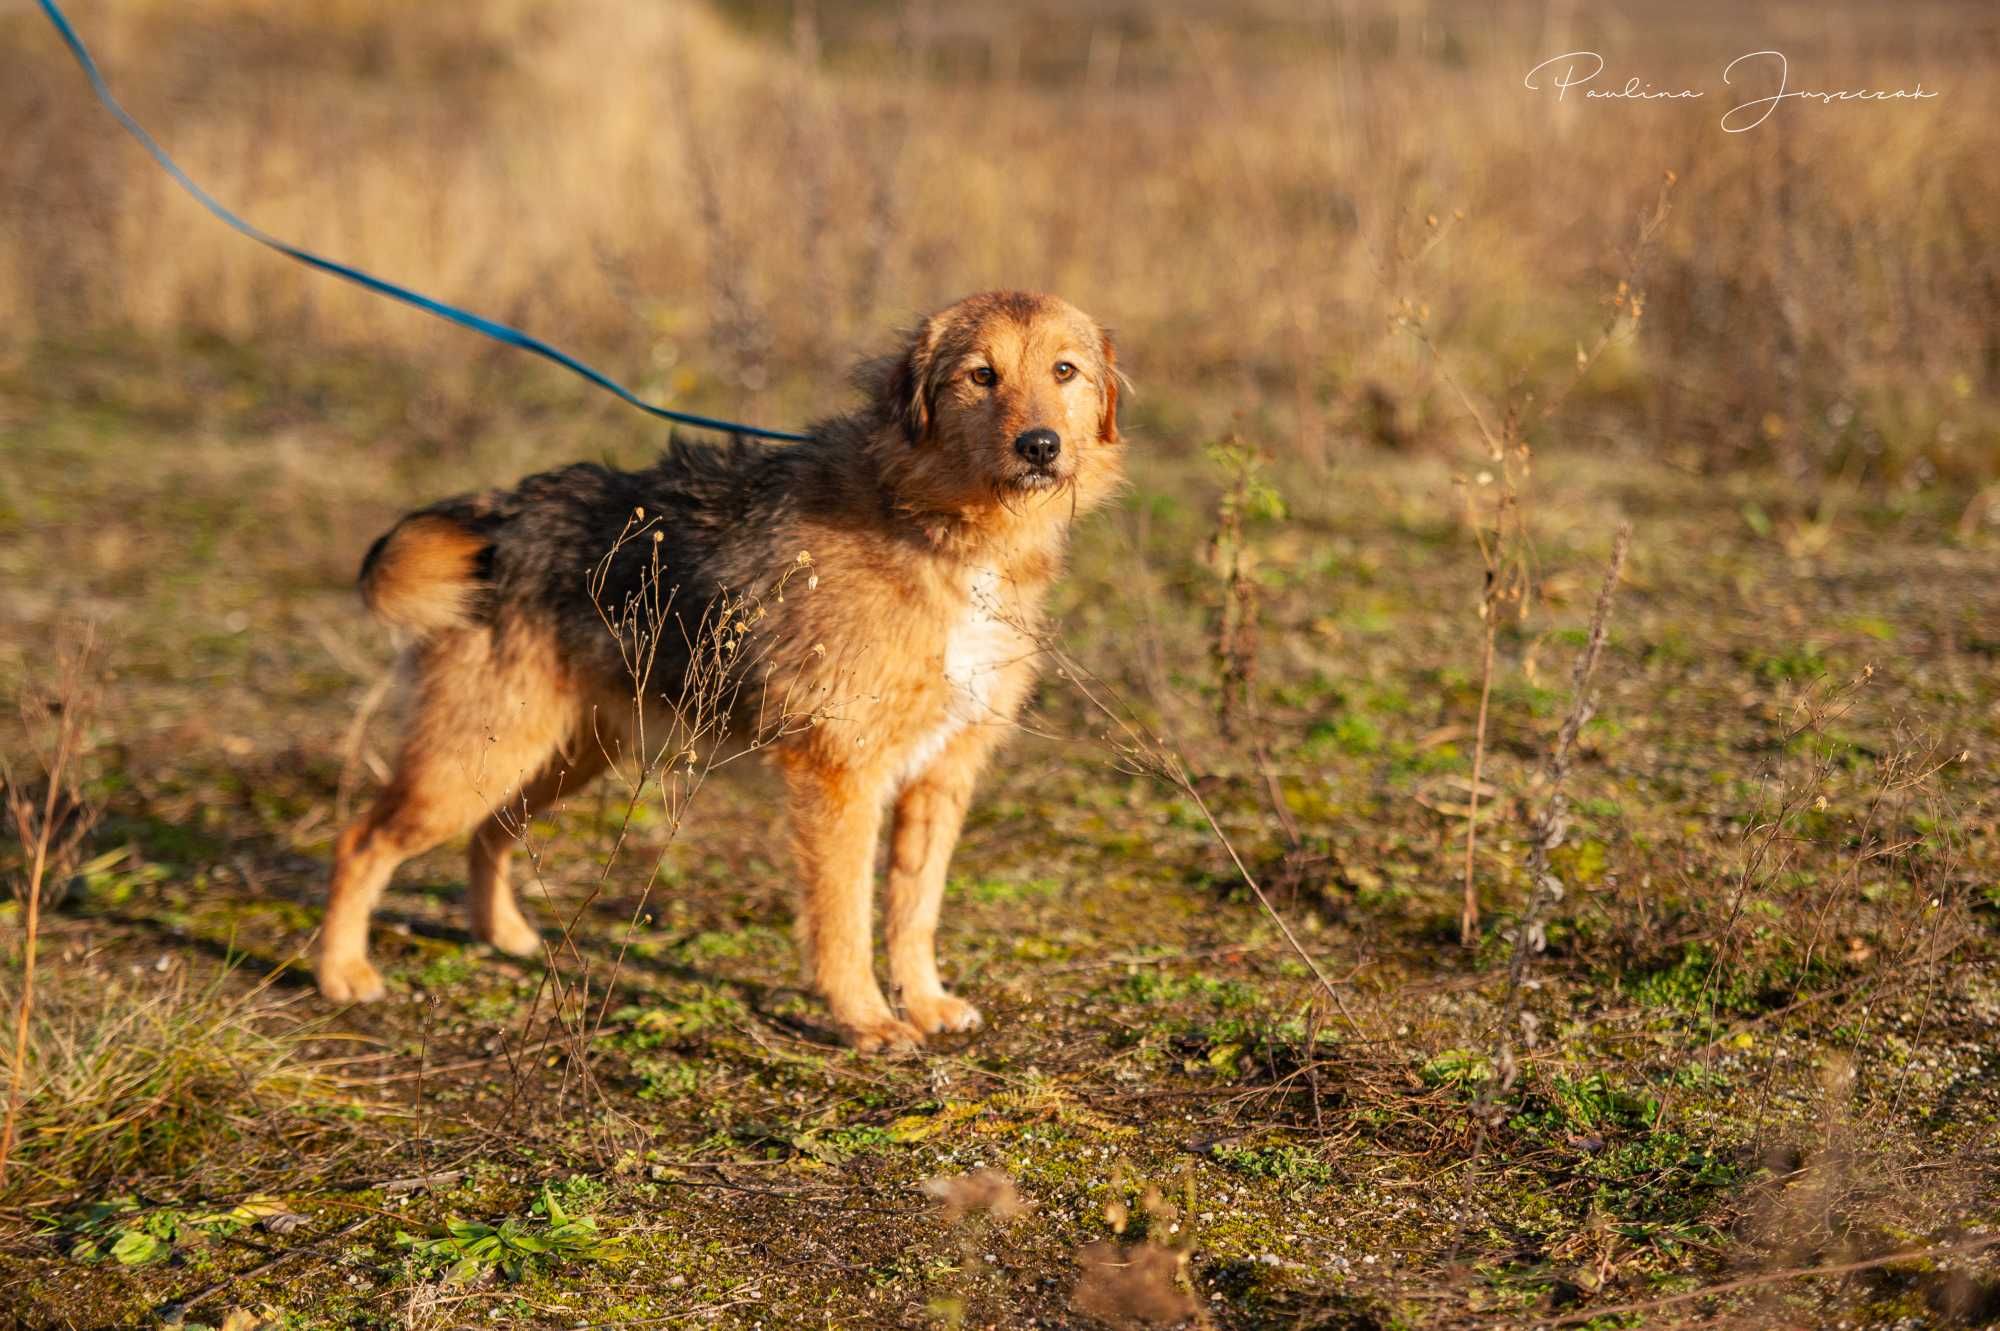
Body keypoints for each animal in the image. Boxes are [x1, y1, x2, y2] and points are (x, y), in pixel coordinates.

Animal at [312, 289, 1128, 1047]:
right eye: (981, 375)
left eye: (1065, 370)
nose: (1040, 446)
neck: (937, 527)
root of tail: (499, 520)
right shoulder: (841, 776)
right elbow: (844, 918)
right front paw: (864, 1018)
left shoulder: (943, 775)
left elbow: (914, 909)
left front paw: (923, 1002)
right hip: (472, 761)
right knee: (361, 841)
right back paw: (341, 972)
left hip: (559, 755)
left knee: (492, 831)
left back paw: (501, 934)